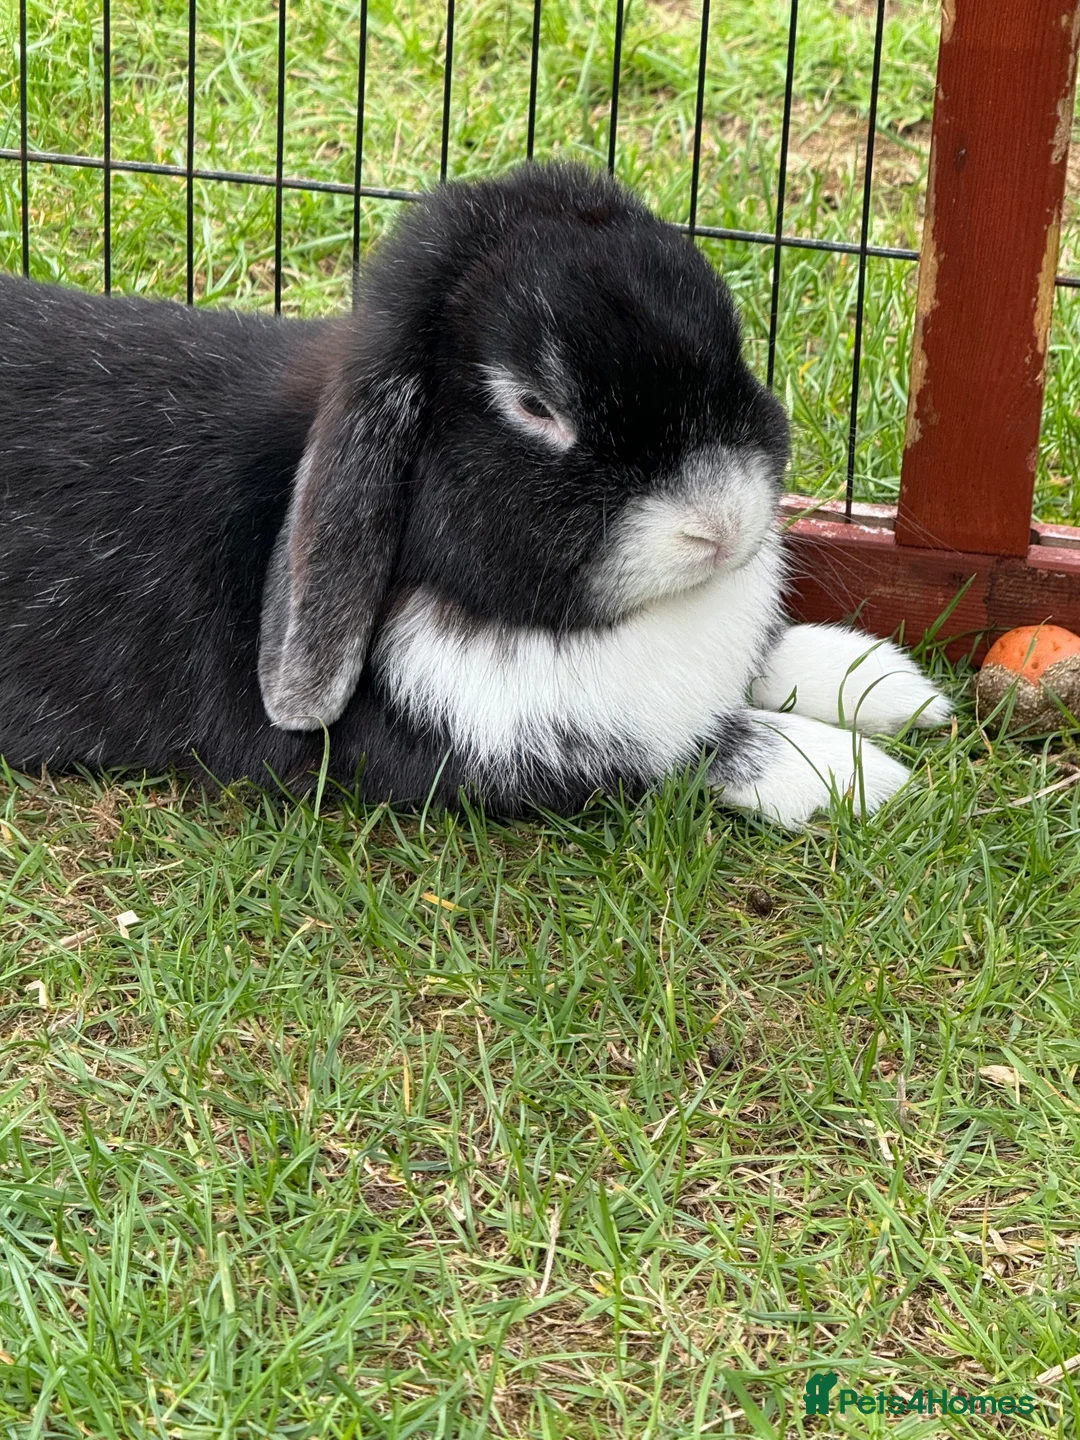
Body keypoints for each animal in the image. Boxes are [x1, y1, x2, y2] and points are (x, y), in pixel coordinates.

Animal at [0, 160, 950, 827]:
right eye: (534, 406)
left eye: (732, 339)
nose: (721, 522)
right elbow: (689, 748)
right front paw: (854, 774)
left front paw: (889, 686)